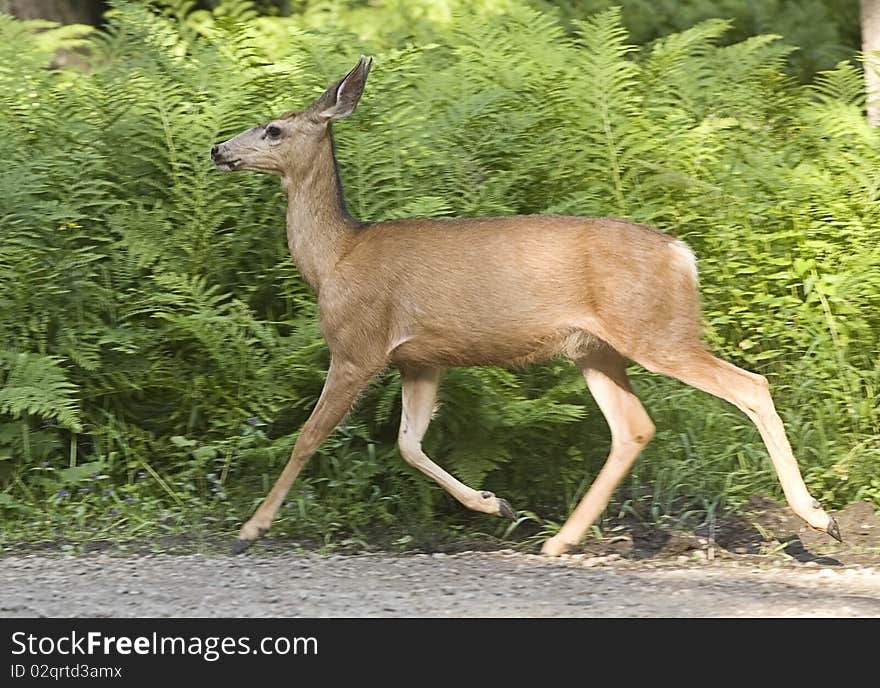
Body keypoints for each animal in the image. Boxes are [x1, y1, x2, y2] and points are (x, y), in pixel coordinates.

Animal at [210, 56, 844, 556]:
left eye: (273, 129)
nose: (219, 148)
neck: (335, 257)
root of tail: (680, 254)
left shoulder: (357, 345)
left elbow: (308, 437)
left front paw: (252, 527)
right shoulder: (421, 358)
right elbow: (409, 444)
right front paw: (495, 504)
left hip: (657, 330)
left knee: (749, 385)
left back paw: (819, 518)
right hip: (597, 348)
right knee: (634, 426)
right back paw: (560, 539)